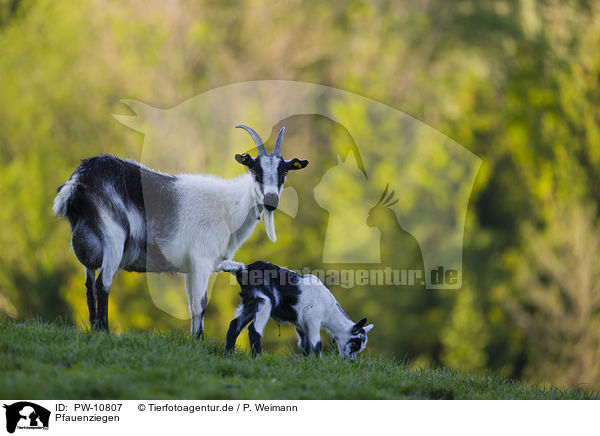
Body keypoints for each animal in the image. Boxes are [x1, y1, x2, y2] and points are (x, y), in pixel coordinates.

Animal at [51, 125, 310, 334]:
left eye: (284, 172)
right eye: (255, 170)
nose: (271, 200)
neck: (228, 208)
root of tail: (80, 179)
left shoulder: (191, 267)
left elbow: (192, 305)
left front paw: (194, 340)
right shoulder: (202, 259)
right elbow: (201, 303)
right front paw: (200, 341)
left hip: (90, 249)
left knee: (88, 287)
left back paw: (94, 329)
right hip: (113, 238)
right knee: (102, 285)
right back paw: (104, 331)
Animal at [218, 260, 372, 360]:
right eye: (355, 342)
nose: (352, 362)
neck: (330, 312)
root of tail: (244, 270)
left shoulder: (302, 326)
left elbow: (305, 346)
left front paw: (307, 363)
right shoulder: (314, 319)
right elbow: (316, 344)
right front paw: (319, 364)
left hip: (250, 304)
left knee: (234, 325)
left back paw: (228, 355)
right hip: (265, 301)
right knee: (253, 330)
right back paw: (257, 358)